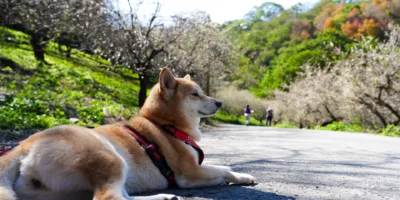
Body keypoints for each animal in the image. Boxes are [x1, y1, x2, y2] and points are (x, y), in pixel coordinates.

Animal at [0, 68, 255, 199]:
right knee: (108, 198)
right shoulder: (190, 173)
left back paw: (163, 197)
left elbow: (221, 167)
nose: (220, 102)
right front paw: (243, 176)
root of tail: (24, 146)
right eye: (195, 94)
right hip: (109, 157)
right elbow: (224, 170)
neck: (164, 125)